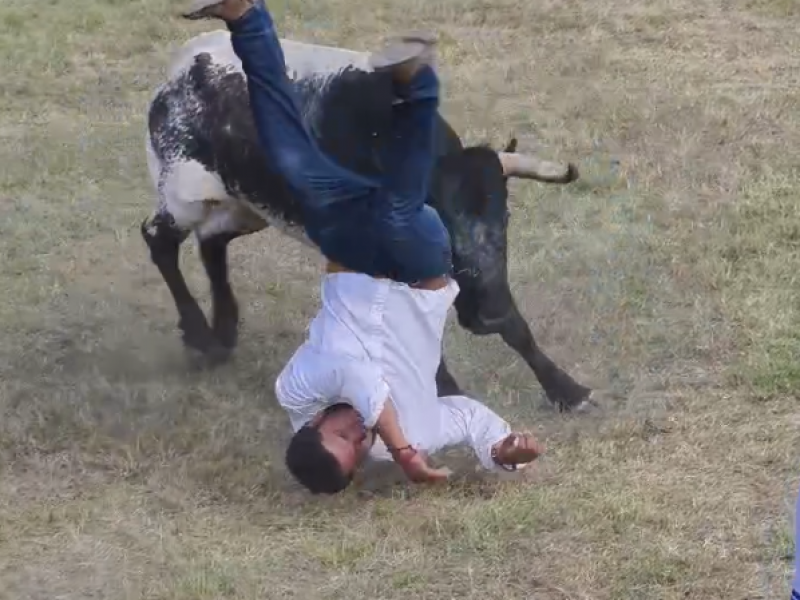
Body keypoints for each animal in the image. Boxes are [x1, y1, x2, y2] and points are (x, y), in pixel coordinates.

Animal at [142, 30, 592, 410]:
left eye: (506, 215)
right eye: (441, 219)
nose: (489, 315)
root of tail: (183, 68)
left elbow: (516, 325)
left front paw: (567, 389)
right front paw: (444, 390)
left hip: (247, 206)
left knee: (212, 244)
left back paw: (222, 333)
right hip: (184, 198)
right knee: (158, 240)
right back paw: (200, 335)